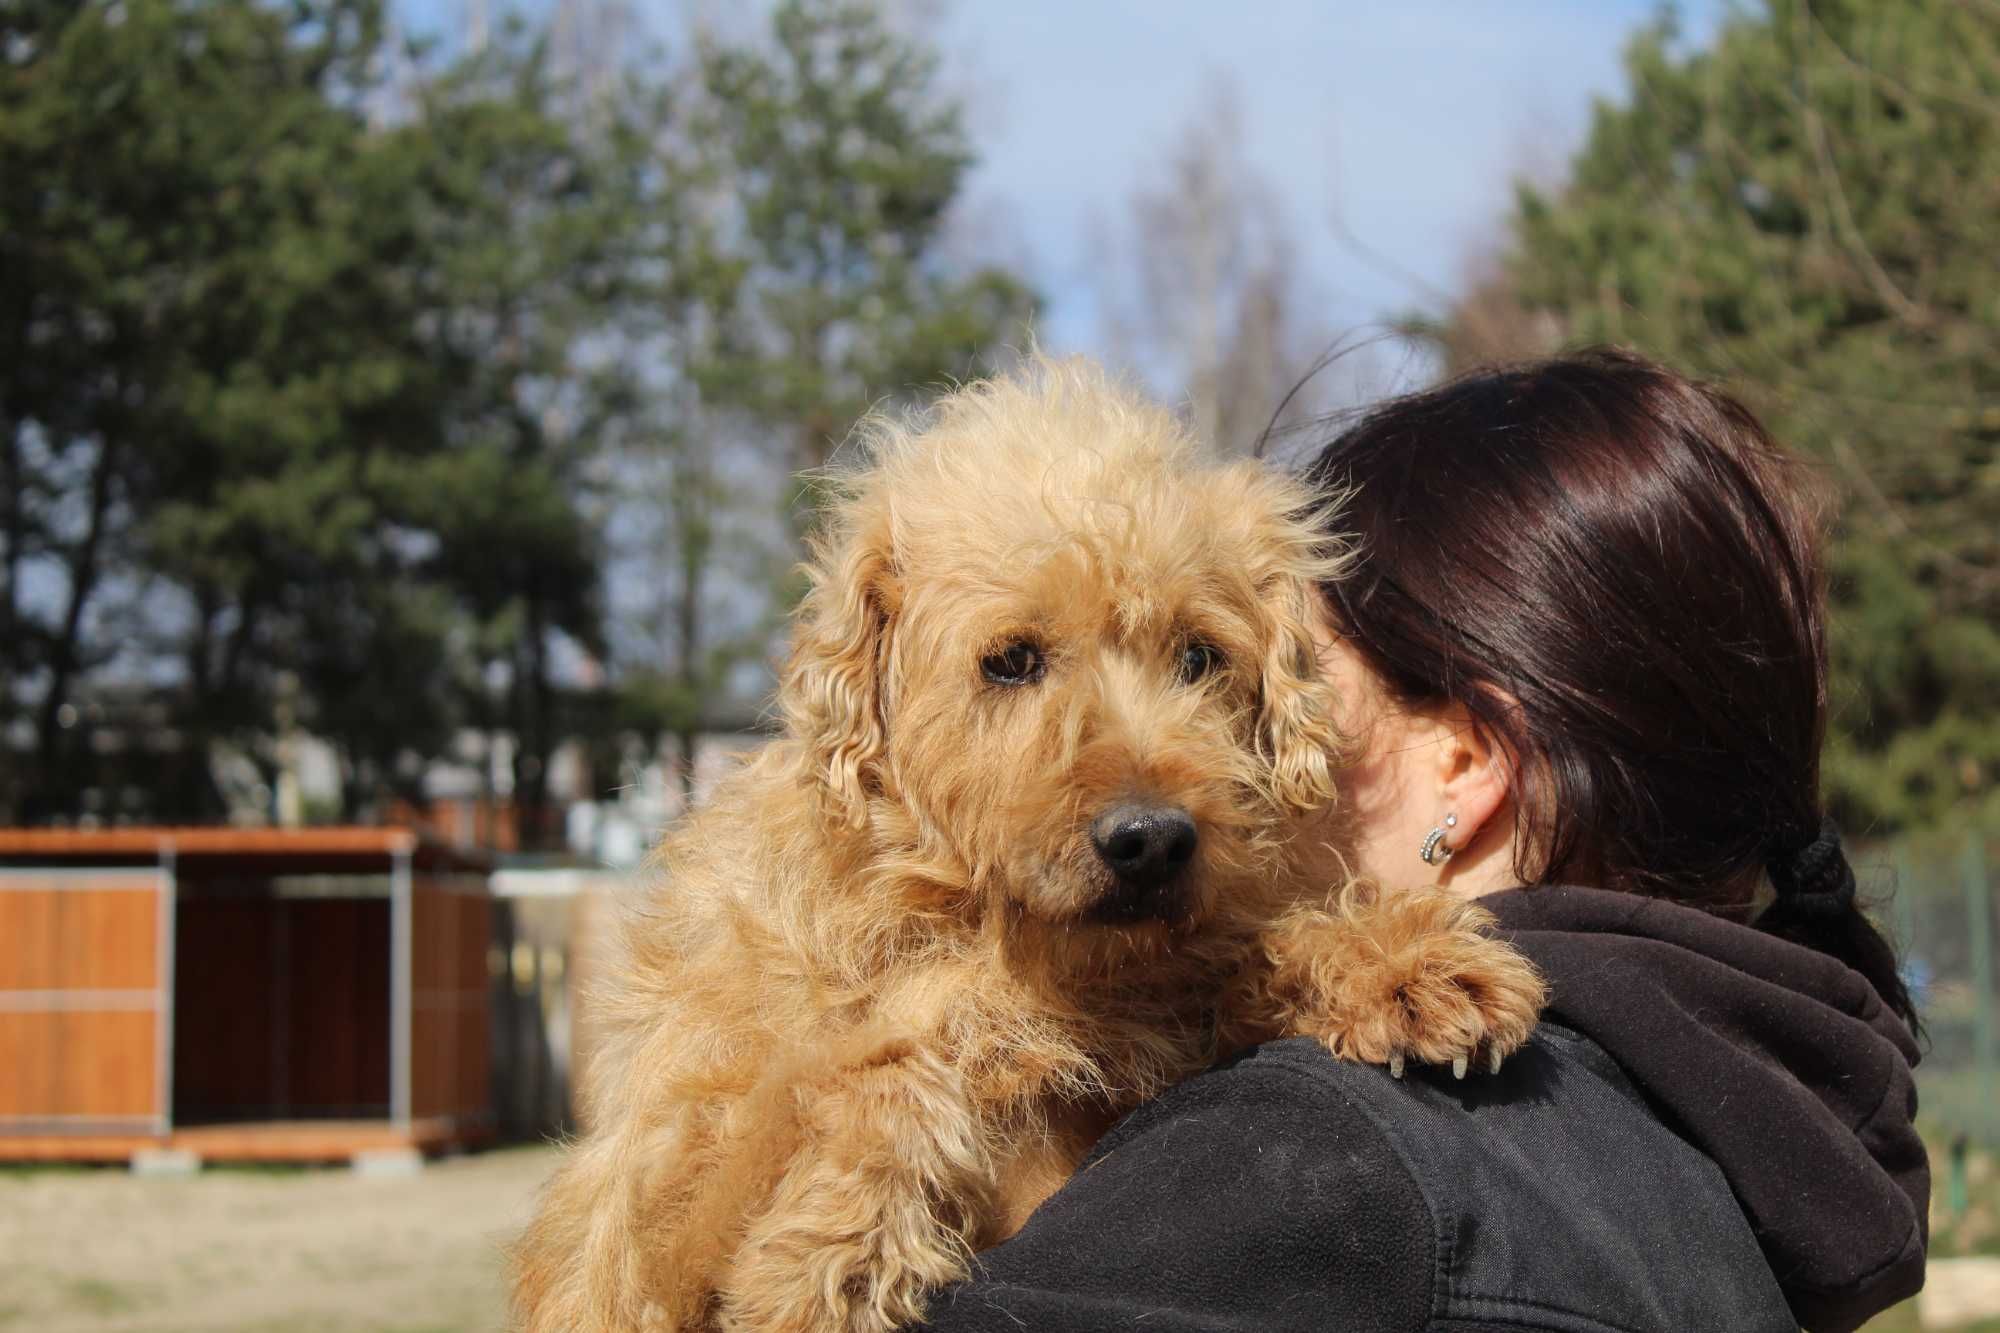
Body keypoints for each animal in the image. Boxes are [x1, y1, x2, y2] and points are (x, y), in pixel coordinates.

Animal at [516, 356, 1544, 1328]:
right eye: (1010, 660)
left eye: (1200, 655)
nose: (1153, 840)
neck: (1002, 935)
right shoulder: (653, 1202)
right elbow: (886, 1050)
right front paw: (837, 1247)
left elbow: (1232, 943)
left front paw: (1402, 961)